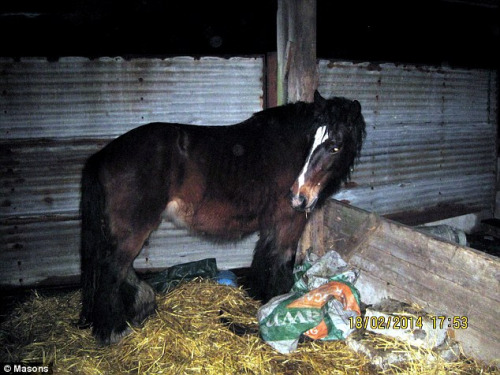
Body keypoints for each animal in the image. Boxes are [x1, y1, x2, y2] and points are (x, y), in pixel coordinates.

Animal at [79, 92, 368, 346]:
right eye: (311, 142)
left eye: (335, 146)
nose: (298, 196)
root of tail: (102, 156)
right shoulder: (288, 221)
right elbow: (281, 261)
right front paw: (279, 303)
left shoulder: (271, 223)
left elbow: (264, 255)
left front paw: (257, 295)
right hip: (133, 231)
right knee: (112, 270)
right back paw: (113, 330)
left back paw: (140, 307)